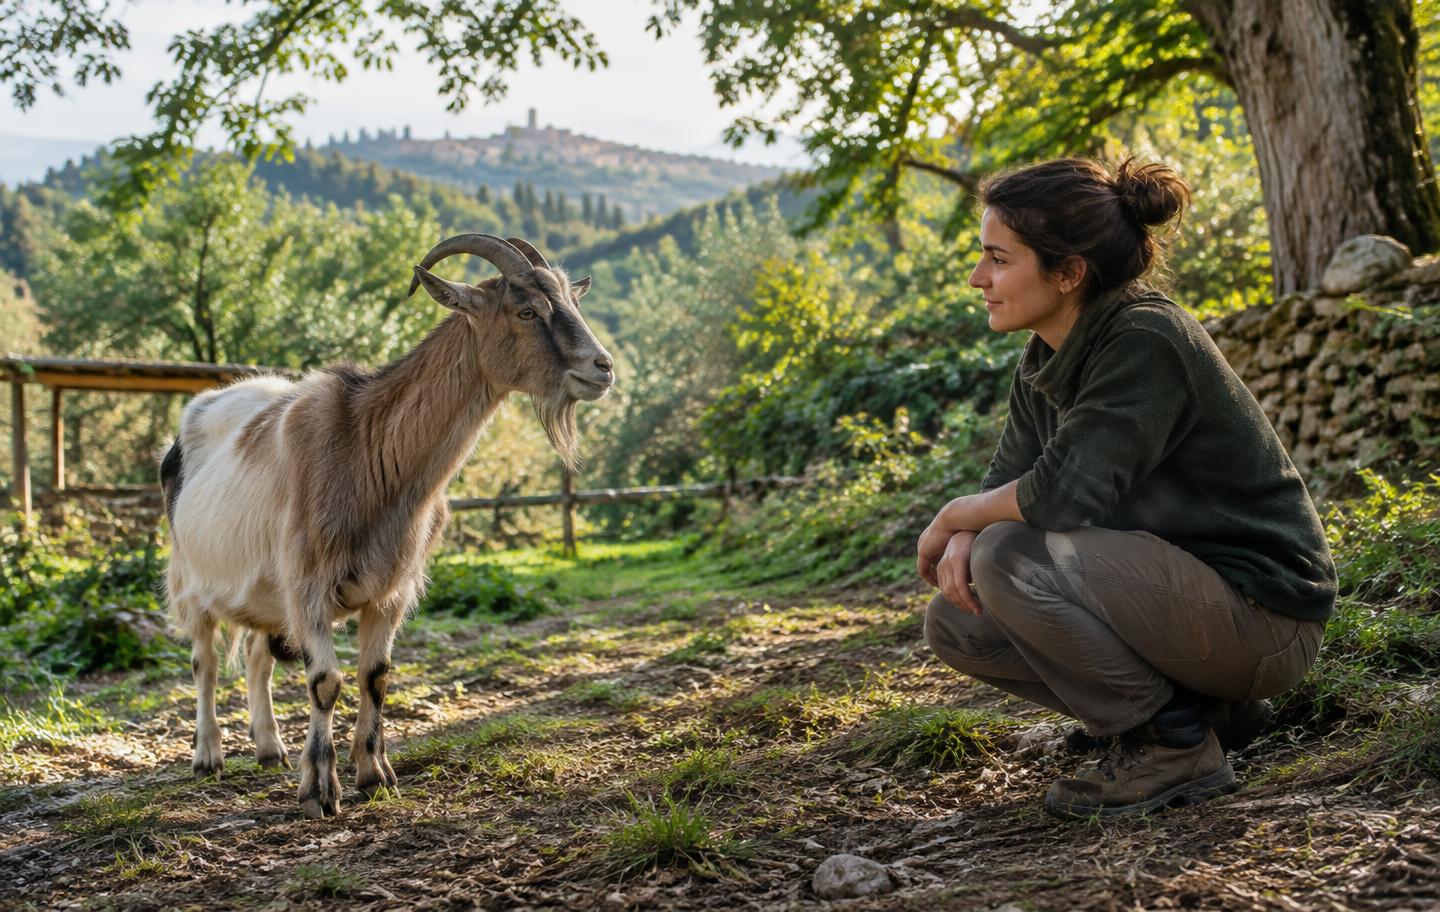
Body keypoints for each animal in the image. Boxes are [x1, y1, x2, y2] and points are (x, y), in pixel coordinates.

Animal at [161, 234, 613, 818]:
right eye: (527, 310)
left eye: (572, 302)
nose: (603, 367)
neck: (368, 448)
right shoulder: (307, 584)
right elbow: (325, 682)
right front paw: (319, 790)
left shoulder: (391, 590)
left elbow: (374, 677)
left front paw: (375, 775)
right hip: (188, 579)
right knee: (206, 662)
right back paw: (208, 756)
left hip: (262, 592)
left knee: (259, 660)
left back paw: (269, 749)